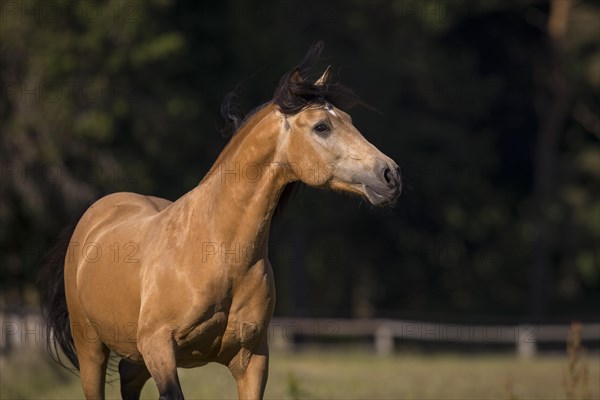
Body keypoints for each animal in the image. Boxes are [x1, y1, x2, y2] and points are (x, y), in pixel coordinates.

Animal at [39, 42, 400, 398]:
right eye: (321, 127)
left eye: (348, 119)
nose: (390, 174)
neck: (218, 251)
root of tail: (94, 215)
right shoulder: (159, 349)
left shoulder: (252, 360)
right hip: (91, 350)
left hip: (133, 357)